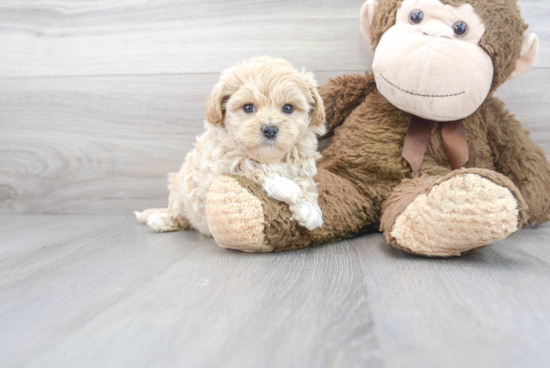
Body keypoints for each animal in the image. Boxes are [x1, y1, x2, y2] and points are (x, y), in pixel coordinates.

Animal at [136, 56, 328, 236]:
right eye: (248, 107)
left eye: (288, 108)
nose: (270, 129)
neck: (268, 157)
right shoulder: (221, 166)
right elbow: (251, 167)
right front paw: (285, 186)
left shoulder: (302, 163)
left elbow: (306, 182)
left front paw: (309, 209)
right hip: (178, 193)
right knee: (179, 216)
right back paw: (161, 220)